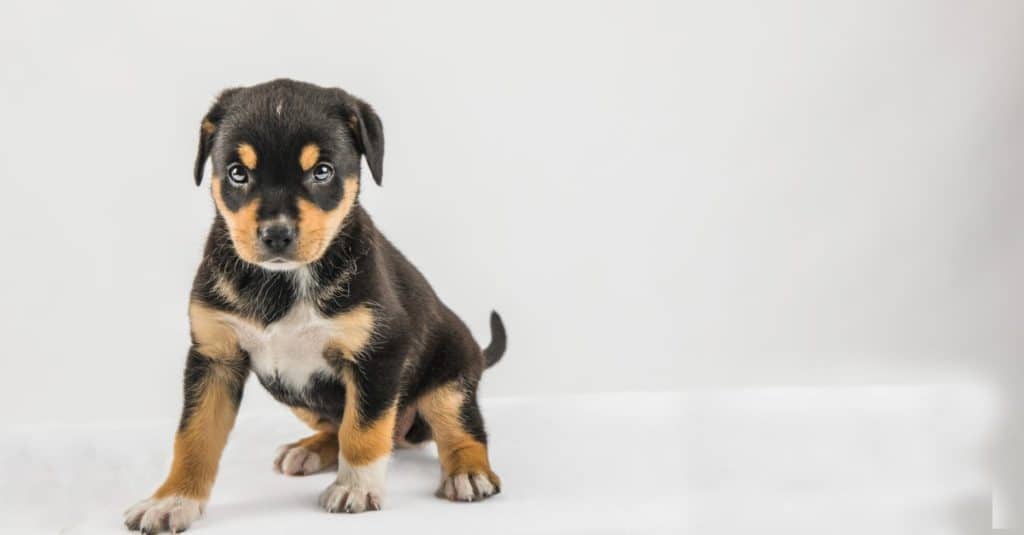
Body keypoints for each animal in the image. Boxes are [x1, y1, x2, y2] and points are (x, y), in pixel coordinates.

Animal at [124, 78, 507, 532]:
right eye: (238, 173)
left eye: (321, 171)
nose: (276, 234)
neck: (282, 284)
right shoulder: (214, 357)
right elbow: (194, 436)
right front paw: (172, 500)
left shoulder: (379, 354)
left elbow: (363, 431)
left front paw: (356, 489)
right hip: (294, 394)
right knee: (338, 427)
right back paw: (307, 449)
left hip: (449, 377)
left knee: (460, 428)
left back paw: (469, 472)